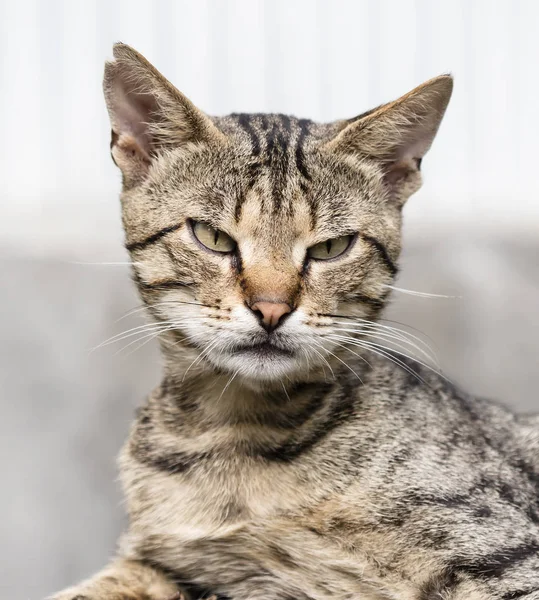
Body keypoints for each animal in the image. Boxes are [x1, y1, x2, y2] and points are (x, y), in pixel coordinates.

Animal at [49, 43, 539, 600]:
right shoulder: (164, 565)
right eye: (212, 237)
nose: (271, 308)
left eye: (331, 248)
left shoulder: (508, 559)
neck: (229, 431)